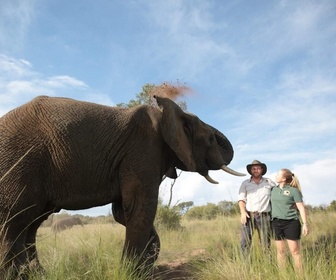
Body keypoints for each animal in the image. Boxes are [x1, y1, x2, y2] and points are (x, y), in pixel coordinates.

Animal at [0, 88, 243, 276]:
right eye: (210, 139)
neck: (168, 115)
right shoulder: (144, 149)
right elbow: (140, 207)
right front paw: (134, 273)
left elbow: (123, 212)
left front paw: (145, 269)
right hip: (19, 162)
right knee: (13, 222)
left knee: (30, 224)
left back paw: (36, 275)